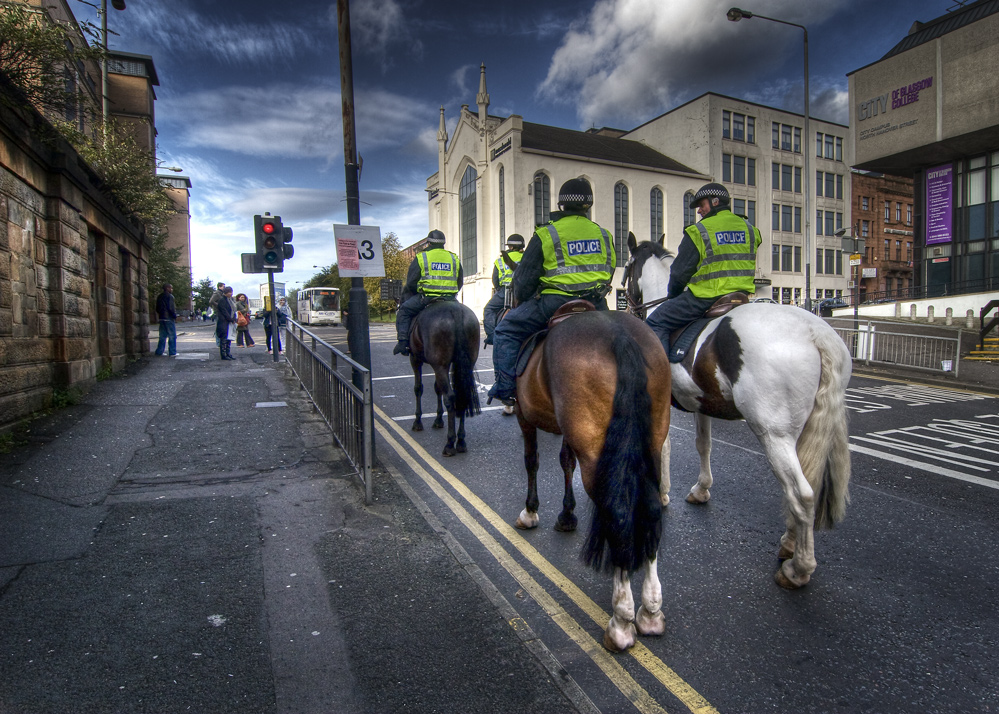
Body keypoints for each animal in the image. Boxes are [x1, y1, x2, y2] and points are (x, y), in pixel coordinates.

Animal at [408, 298, 482, 454]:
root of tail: (455, 311)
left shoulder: (415, 358)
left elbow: (418, 388)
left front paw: (418, 421)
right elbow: (437, 389)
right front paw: (438, 419)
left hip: (439, 365)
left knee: (450, 396)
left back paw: (450, 443)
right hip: (465, 363)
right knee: (461, 395)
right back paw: (461, 441)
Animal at [516, 308, 672, 648]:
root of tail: (620, 336)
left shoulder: (524, 415)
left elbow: (532, 460)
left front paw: (530, 511)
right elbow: (565, 461)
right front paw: (566, 514)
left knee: (618, 514)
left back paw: (622, 621)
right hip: (651, 441)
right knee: (652, 509)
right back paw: (651, 610)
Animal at [624, 234, 852, 588]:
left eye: (626, 268)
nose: (627, 306)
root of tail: (816, 333)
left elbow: (664, 445)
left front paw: (661, 493)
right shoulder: (701, 402)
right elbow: (703, 445)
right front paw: (702, 489)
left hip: (773, 433)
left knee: (802, 494)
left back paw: (798, 569)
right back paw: (790, 543)